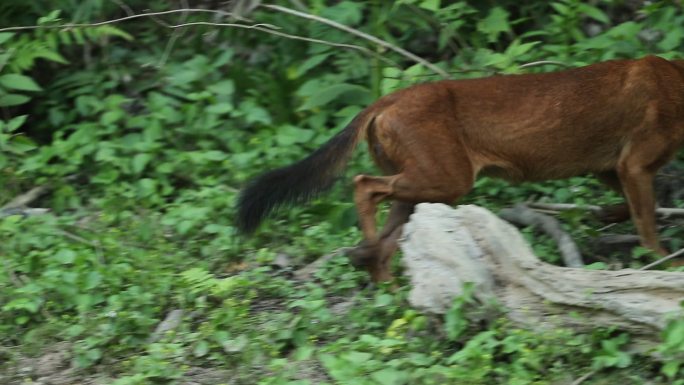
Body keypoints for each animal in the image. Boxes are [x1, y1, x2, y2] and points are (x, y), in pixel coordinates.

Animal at [236, 55, 684, 280]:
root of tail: (387, 98)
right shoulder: (634, 163)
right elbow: (647, 219)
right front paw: (666, 262)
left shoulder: (609, 166)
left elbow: (632, 206)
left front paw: (605, 216)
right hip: (446, 178)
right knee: (363, 184)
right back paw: (367, 256)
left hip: (423, 188)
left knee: (388, 235)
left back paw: (381, 279)